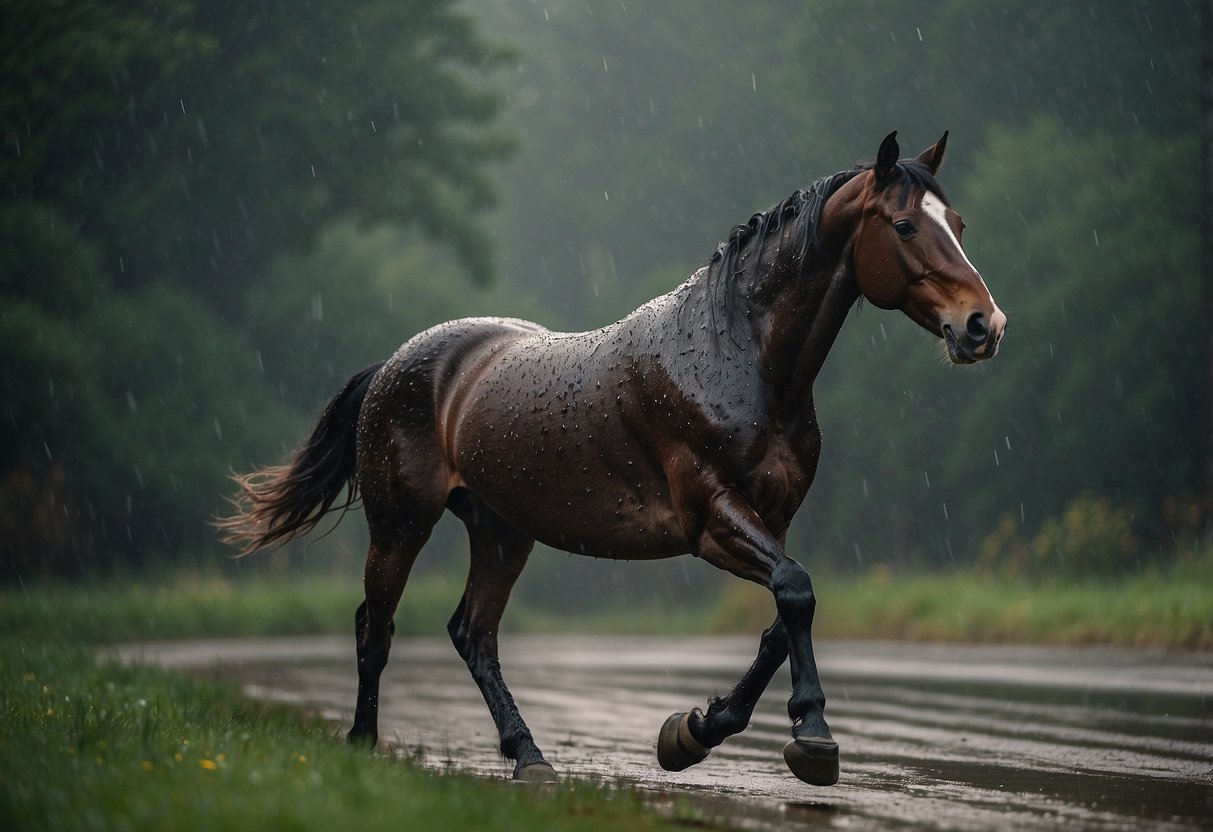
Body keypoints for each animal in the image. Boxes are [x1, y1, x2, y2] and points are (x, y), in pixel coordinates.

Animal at [215, 132, 1004, 790]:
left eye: (960, 224)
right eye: (904, 226)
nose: (982, 325)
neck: (737, 355)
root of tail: (395, 364)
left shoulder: (772, 517)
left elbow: (785, 617)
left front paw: (691, 732)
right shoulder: (711, 521)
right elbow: (796, 592)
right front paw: (810, 736)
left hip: (502, 531)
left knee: (473, 634)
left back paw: (528, 757)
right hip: (400, 523)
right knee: (374, 627)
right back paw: (363, 745)